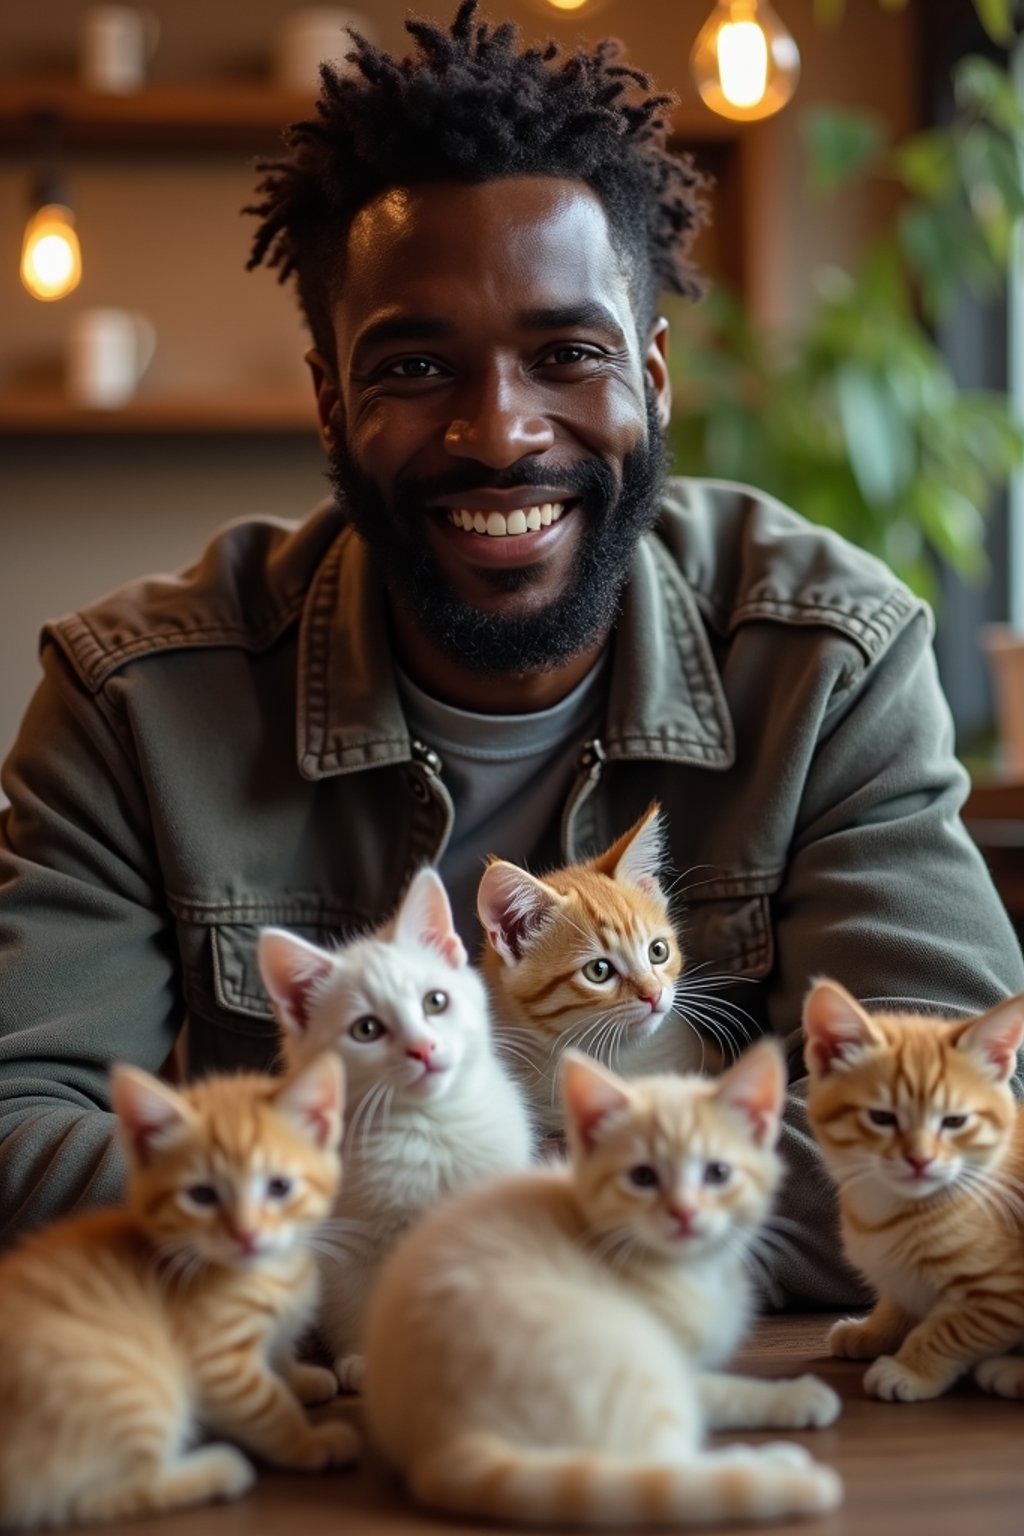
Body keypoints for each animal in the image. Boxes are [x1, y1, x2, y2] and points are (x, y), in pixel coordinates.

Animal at [0, 1050, 360, 1529]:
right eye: (202, 1196)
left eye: (280, 1187)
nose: (247, 1235)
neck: (270, 1272)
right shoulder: (218, 1360)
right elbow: (267, 1405)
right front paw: (307, 1442)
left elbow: (279, 1356)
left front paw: (302, 1377)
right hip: (126, 1388)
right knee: (89, 1499)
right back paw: (218, 1469)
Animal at [257, 872, 537, 1400]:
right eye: (366, 1029)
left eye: (435, 1002)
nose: (423, 1048)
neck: (430, 1128)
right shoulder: (347, 1238)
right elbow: (354, 1295)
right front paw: (364, 1359)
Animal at [363, 1038, 847, 1529]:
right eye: (642, 1177)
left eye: (718, 1173)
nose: (685, 1213)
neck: (690, 1270)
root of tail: (448, 1433)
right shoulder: (675, 1359)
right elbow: (721, 1391)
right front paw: (796, 1396)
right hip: (635, 1361)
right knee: (656, 1471)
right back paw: (772, 1463)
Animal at [804, 983, 1024, 1406]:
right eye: (881, 1118)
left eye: (954, 1121)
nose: (920, 1159)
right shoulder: (899, 1273)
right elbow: (898, 1296)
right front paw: (873, 1331)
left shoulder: (1003, 1293)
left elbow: (951, 1328)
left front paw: (910, 1369)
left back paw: (1007, 1372)